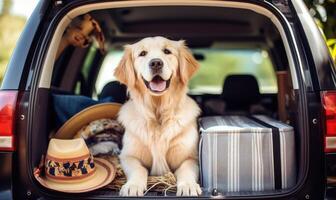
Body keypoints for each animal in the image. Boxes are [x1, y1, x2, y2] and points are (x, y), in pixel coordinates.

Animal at [114, 36, 201, 196]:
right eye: (142, 53)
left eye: (167, 51)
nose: (156, 63)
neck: (158, 114)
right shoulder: (128, 156)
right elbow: (138, 169)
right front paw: (133, 186)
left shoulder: (190, 157)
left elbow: (185, 169)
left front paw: (188, 185)